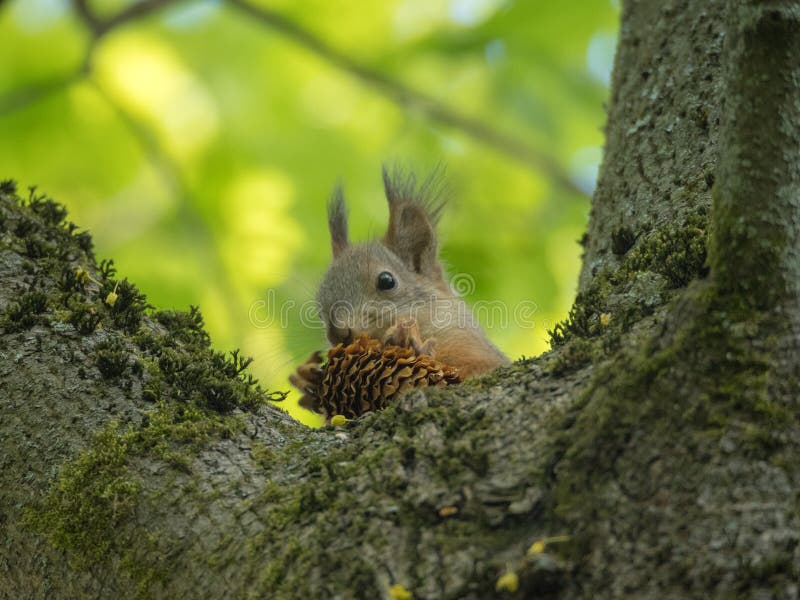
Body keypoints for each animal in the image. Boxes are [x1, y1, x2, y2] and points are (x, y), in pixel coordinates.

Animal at [313, 167, 509, 379]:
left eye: (387, 281)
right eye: (318, 307)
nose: (337, 334)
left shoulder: (469, 344)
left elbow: (476, 365)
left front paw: (410, 343)